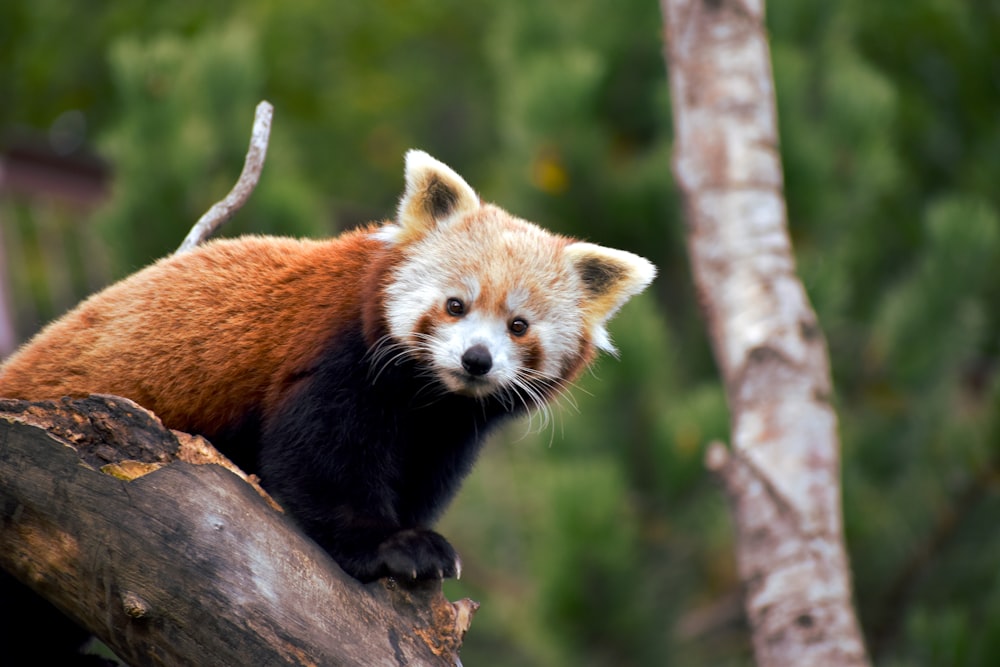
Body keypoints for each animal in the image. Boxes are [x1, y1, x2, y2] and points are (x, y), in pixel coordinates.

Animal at [0, 151, 656, 584]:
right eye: (456, 305)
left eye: (518, 326)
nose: (476, 359)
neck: (425, 396)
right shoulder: (334, 357)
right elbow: (319, 461)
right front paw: (396, 546)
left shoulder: (446, 430)